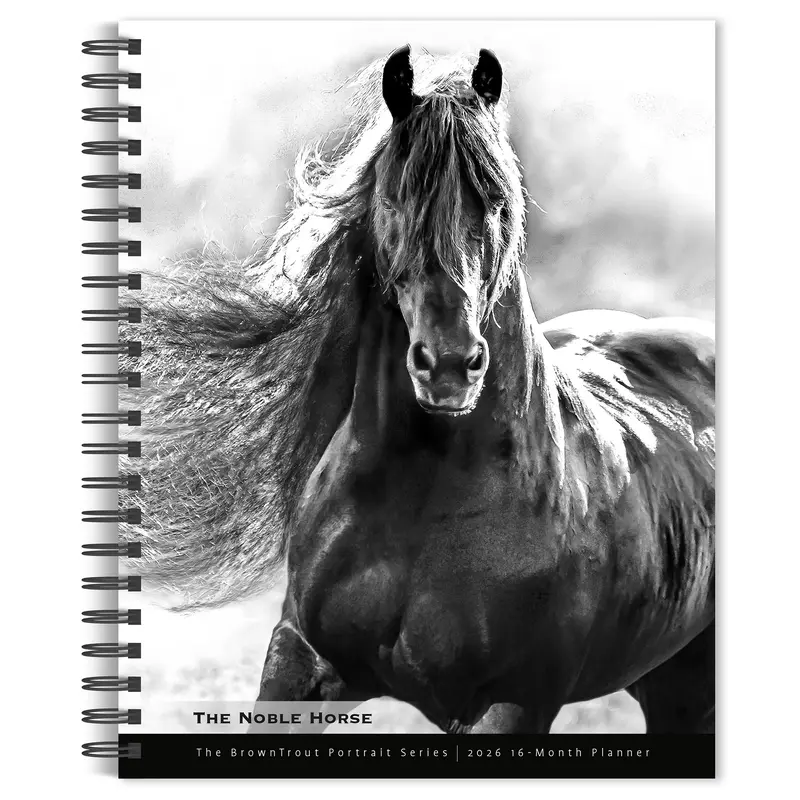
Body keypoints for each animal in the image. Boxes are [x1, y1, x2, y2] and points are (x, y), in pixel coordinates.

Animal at [125, 46, 715, 734]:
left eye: (496, 200)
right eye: (396, 197)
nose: (451, 365)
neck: (423, 498)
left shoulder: (511, 701)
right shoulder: (302, 659)